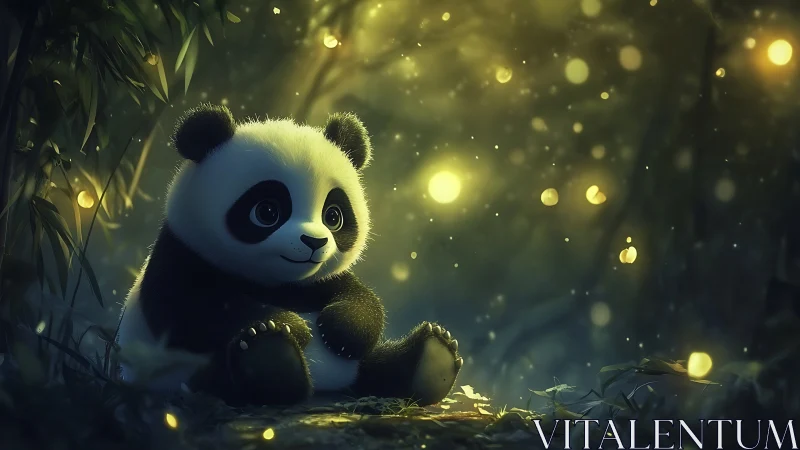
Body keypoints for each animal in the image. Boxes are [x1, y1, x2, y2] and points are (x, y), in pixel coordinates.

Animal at [116, 103, 463, 406]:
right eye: (267, 212)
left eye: (333, 216)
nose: (314, 242)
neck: (275, 283)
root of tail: (325, 385)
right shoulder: (181, 253)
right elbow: (192, 309)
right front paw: (292, 326)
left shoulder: (316, 281)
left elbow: (361, 297)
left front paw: (340, 329)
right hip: (175, 375)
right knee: (218, 379)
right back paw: (270, 358)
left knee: (378, 367)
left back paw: (433, 358)